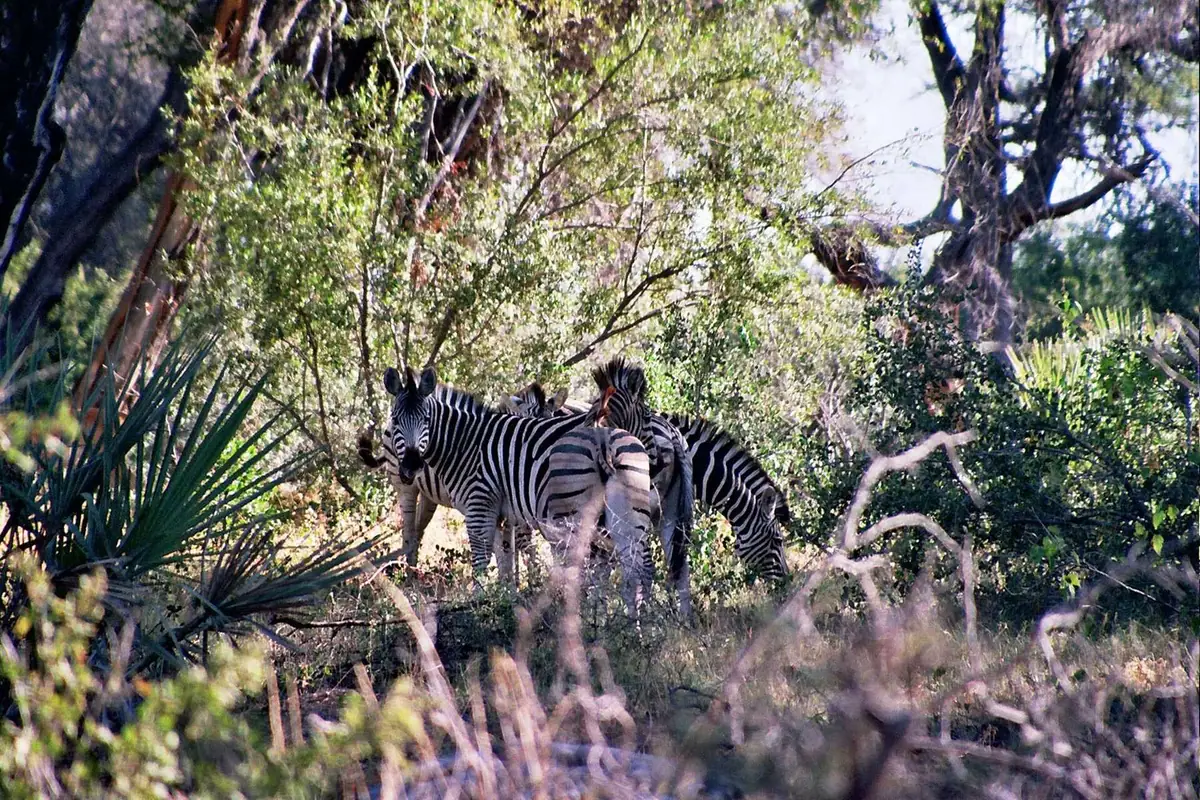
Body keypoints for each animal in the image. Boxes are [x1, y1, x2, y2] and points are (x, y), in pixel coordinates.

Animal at [382, 366, 654, 614]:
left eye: (426, 420)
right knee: (635, 570)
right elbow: (504, 558)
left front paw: (480, 606)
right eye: (396, 420)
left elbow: (481, 560)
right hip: (629, 512)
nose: (411, 466)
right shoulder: (502, 512)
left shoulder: (479, 504)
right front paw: (503, 599)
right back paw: (633, 624)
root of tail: (602, 438)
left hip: (572, 515)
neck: (466, 443)